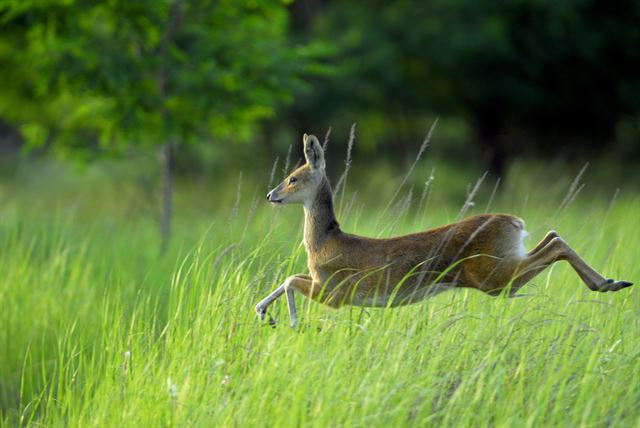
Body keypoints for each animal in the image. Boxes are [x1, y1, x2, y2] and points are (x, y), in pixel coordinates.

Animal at [254, 134, 632, 328]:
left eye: (293, 177)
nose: (271, 195)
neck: (323, 241)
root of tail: (514, 222)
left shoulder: (334, 293)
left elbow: (291, 279)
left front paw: (287, 321)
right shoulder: (328, 288)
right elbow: (288, 279)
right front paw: (264, 313)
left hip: (493, 276)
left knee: (554, 246)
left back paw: (608, 283)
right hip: (502, 264)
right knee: (552, 236)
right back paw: (611, 282)